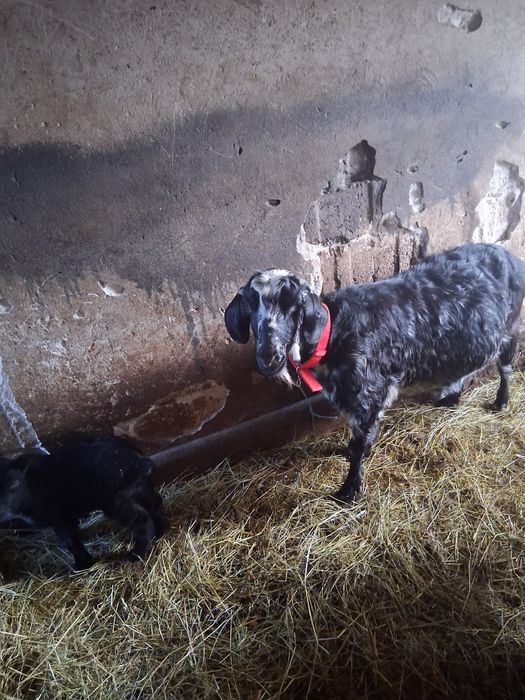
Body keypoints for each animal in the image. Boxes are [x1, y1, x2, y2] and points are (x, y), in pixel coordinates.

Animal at [0, 436, 165, 569]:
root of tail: (138, 461)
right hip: (139, 487)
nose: (2, 513)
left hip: (116, 500)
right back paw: (159, 532)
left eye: (15, 483)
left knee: (141, 521)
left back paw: (137, 553)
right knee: (155, 503)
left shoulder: (60, 515)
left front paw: (82, 564)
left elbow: (68, 541)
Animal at [225, 243, 525, 503]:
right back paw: (449, 400)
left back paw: (500, 402)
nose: (269, 357)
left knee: (506, 367)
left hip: (510, 328)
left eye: (294, 306)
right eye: (250, 306)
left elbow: (361, 442)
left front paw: (348, 491)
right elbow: (357, 437)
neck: (334, 335)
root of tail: (510, 257)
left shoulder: (370, 394)